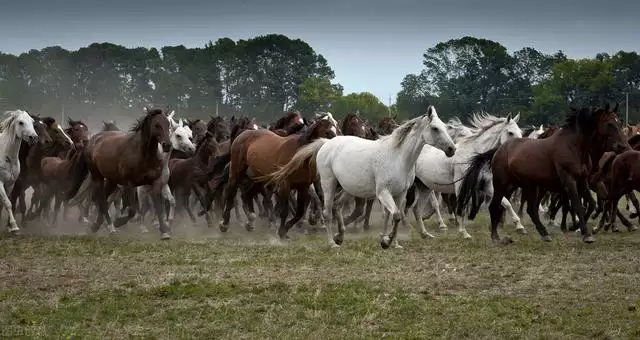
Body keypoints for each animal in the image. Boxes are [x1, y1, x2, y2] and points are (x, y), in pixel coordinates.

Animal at [460, 104, 632, 244]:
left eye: (619, 122)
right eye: (610, 124)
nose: (623, 146)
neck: (574, 147)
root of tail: (499, 150)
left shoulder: (582, 180)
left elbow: (591, 204)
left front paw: (576, 227)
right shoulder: (568, 181)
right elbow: (577, 205)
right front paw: (585, 233)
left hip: (527, 186)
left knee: (530, 210)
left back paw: (543, 233)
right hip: (503, 185)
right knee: (495, 206)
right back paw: (496, 237)